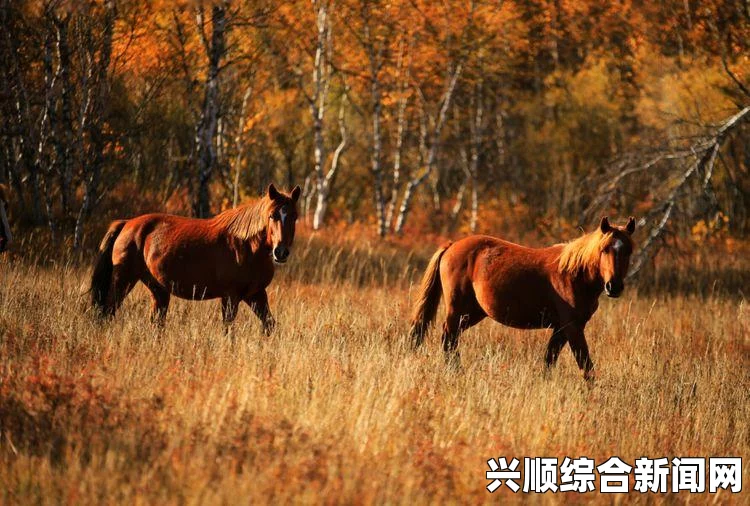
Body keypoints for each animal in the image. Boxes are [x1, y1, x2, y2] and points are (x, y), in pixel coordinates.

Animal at [89, 182, 300, 332]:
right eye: (272, 215)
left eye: (294, 217)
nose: (280, 252)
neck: (247, 246)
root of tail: (126, 224)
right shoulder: (230, 297)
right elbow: (228, 331)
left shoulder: (256, 295)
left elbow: (270, 326)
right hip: (123, 281)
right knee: (107, 312)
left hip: (158, 290)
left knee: (156, 323)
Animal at [408, 215, 636, 378]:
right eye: (604, 249)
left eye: (628, 251)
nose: (614, 287)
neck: (573, 273)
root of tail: (451, 246)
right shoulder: (572, 327)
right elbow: (586, 366)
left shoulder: (561, 329)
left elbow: (549, 360)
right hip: (458, 310)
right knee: (449, 338)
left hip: (472, 314)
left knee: (450, 338)